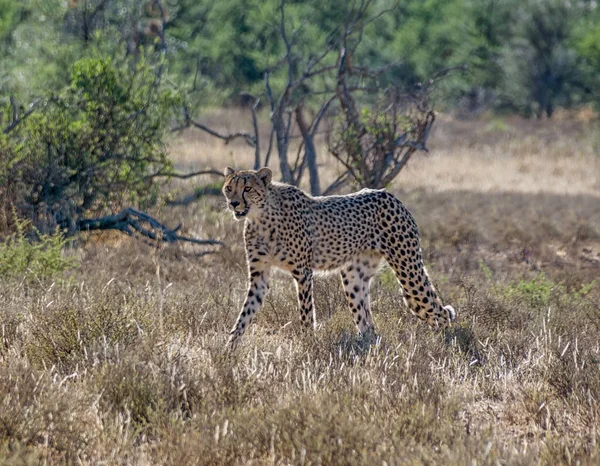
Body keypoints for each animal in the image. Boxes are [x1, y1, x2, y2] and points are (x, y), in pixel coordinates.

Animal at [221, 167, 454, 346]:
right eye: (229, 188)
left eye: (248, 188)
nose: (233, 203)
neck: (261, 217)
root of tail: (387, 194)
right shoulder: (259, 275)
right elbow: (245, 313)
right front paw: (229, 349)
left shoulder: (303, 273)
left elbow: (306, 314)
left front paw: (307, 345)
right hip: (353, 278)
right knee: (366, 322)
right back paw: (367, 346)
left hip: (408, 270)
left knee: (438, 312)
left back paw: (443, 345)